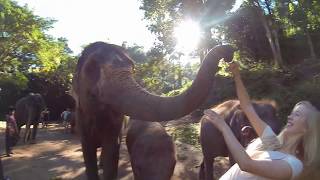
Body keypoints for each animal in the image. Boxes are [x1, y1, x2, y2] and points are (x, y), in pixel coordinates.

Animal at [71, 41, 234, 179]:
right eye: (91, 67)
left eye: (133, 68)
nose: (229, 53)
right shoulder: (80, 116)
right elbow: (87, 151)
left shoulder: (116, 124)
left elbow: (111, 149)